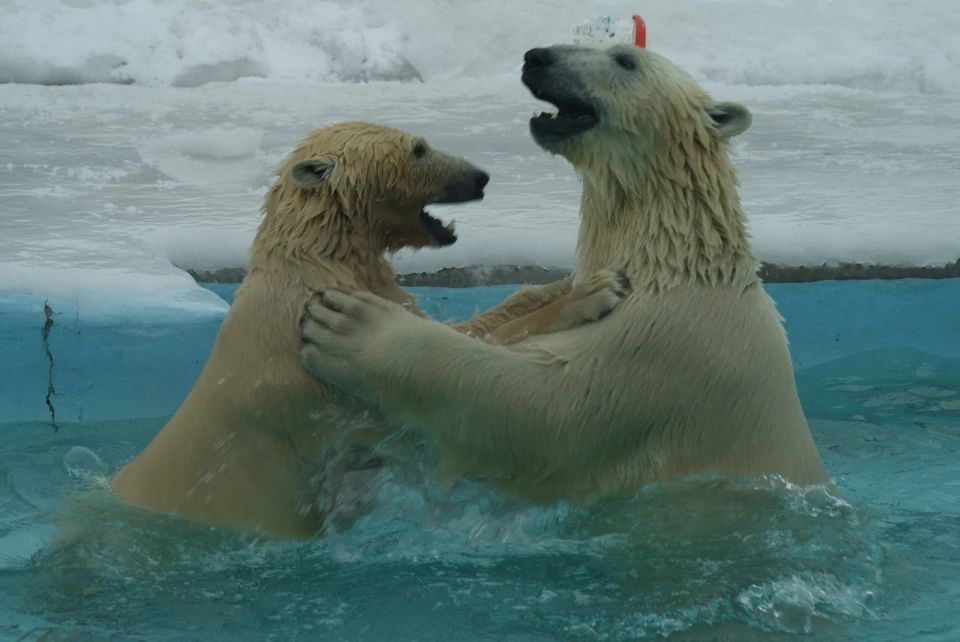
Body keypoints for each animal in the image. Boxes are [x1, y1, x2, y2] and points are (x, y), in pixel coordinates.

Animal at [109, 119, 632, 536]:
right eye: (418, 148)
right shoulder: (323, 377)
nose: (481, 177)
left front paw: (566, 280)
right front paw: (597, 290)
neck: (317, 262)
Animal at [298, 46, 832, 504]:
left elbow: (535, 406)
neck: (672, 262)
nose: (537, 57)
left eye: (625, 59)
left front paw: (349, 328)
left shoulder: (664, 353)